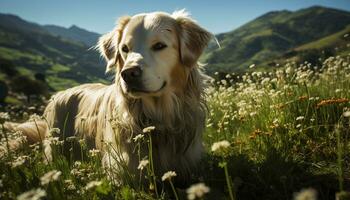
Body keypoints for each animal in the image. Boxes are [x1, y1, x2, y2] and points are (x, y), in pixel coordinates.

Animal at [10, 9, 212, 184]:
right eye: (124, 48)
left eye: (159, 46)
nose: (128, 74)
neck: (157, 119)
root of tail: (60, 93)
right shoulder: (122, 170)